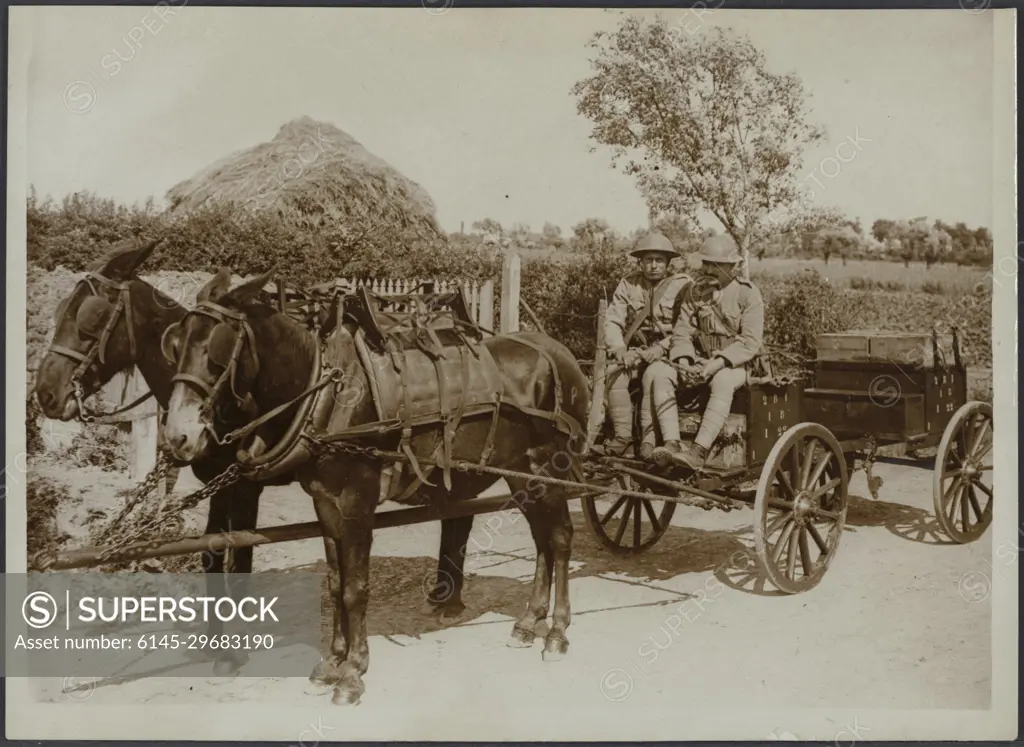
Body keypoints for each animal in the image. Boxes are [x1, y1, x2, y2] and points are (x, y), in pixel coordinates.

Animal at [34, 238, 489, 672]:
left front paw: (233, 650)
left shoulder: (243, 487)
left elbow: (239, 560)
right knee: (458, 514)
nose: (45, 394)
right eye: (175, 344)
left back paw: (448, 599)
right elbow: (212, 553)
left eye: (90, 317)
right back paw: (445, 597)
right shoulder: (216, 485)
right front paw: (213, 641)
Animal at [162, 268, 589, 704]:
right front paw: (331, 664)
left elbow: (355, 588)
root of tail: (560, 354)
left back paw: (556, 632)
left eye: (216, 350)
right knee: (542, 540)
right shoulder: (326, 503)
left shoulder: (357, 500)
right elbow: (335, 585)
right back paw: (529, 622)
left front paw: (352, 672)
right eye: (175, 345)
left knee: (560, 538)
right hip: (522, 474)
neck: (326, 391)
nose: (177, 436)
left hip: (548, 466)